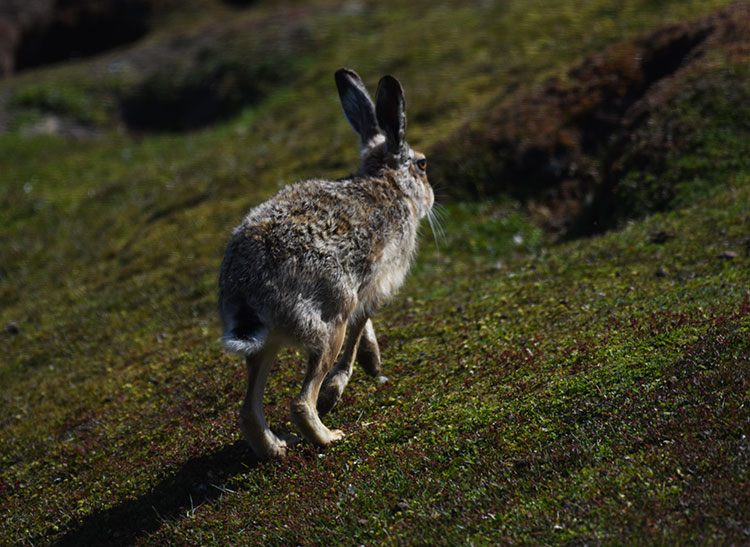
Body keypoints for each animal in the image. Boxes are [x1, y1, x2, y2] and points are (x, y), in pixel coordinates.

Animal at [218, 67, 434, 459]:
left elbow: (365, 329)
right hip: (328, 324)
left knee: (248, 410)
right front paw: (349, 380)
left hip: (267, 344)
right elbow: (361, 325)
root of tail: (245, 291)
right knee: (301, 402)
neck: (387, 183)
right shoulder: (374, 286)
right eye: (422, 164)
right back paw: (328, 435)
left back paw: (277, 447)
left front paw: (371, 360)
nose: (432, 196)